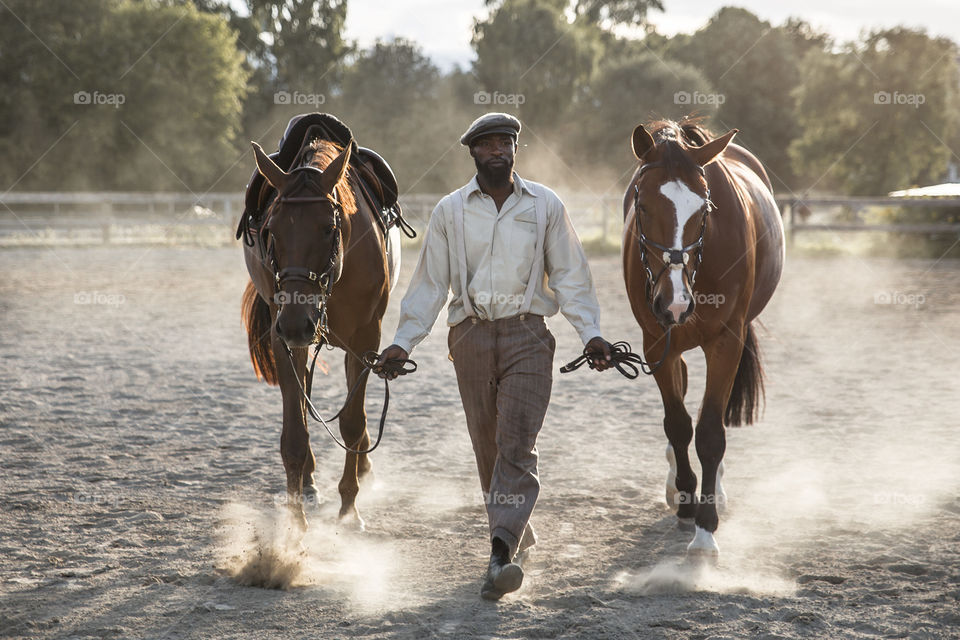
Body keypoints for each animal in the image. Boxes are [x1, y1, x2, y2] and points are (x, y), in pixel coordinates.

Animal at [244, 136, 402, 528]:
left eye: (329, 228)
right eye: (271, 230)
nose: (297, 323)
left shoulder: (367, 340)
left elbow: (352, 423)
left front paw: (349, 508)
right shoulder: (283, 337)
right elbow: (295, 432)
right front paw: (295, 519)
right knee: (302, 399)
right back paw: (310, 483)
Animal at [624, 119, 788, 556]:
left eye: (704, 211)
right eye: (642, 207)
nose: (675, 301)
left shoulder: (727, 341)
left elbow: (711, 432)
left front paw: (705, 529)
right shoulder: (655, 341)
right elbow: (678, 424)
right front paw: (685, 499)